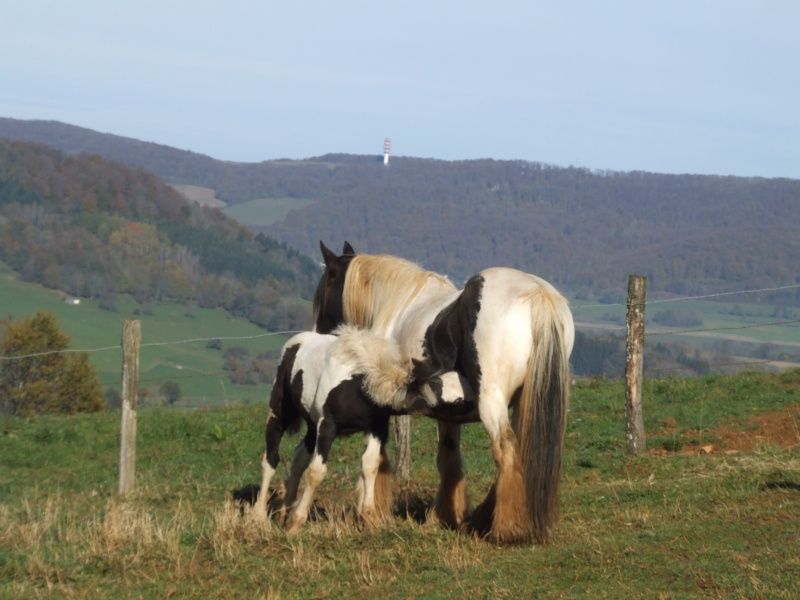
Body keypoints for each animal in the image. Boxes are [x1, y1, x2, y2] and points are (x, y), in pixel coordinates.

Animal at [255, 326, 468, 532]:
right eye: (456, 400)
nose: (473, 412)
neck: (359, 385)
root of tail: (297, 340)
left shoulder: (376, 427)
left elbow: (370, 465)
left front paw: (369, 518)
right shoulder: (327, 427)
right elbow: (316, 472)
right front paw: (296, 523)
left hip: (311, 424)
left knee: (299, 458)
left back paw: (284, 512)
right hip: (279, 413)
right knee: (270, 458)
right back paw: (259, 517)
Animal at [314, 241, 576, 548]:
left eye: (326, 287)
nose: (318, 335)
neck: (396, 307)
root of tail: (538, 295)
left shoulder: (380, 406)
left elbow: (375, 459)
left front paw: (370, 516)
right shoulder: (449, 412)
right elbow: (449, 458)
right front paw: (447, 517)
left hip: (493, 402)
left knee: (506, 451)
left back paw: (508, 529)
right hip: (525, 404)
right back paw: (484, 522)